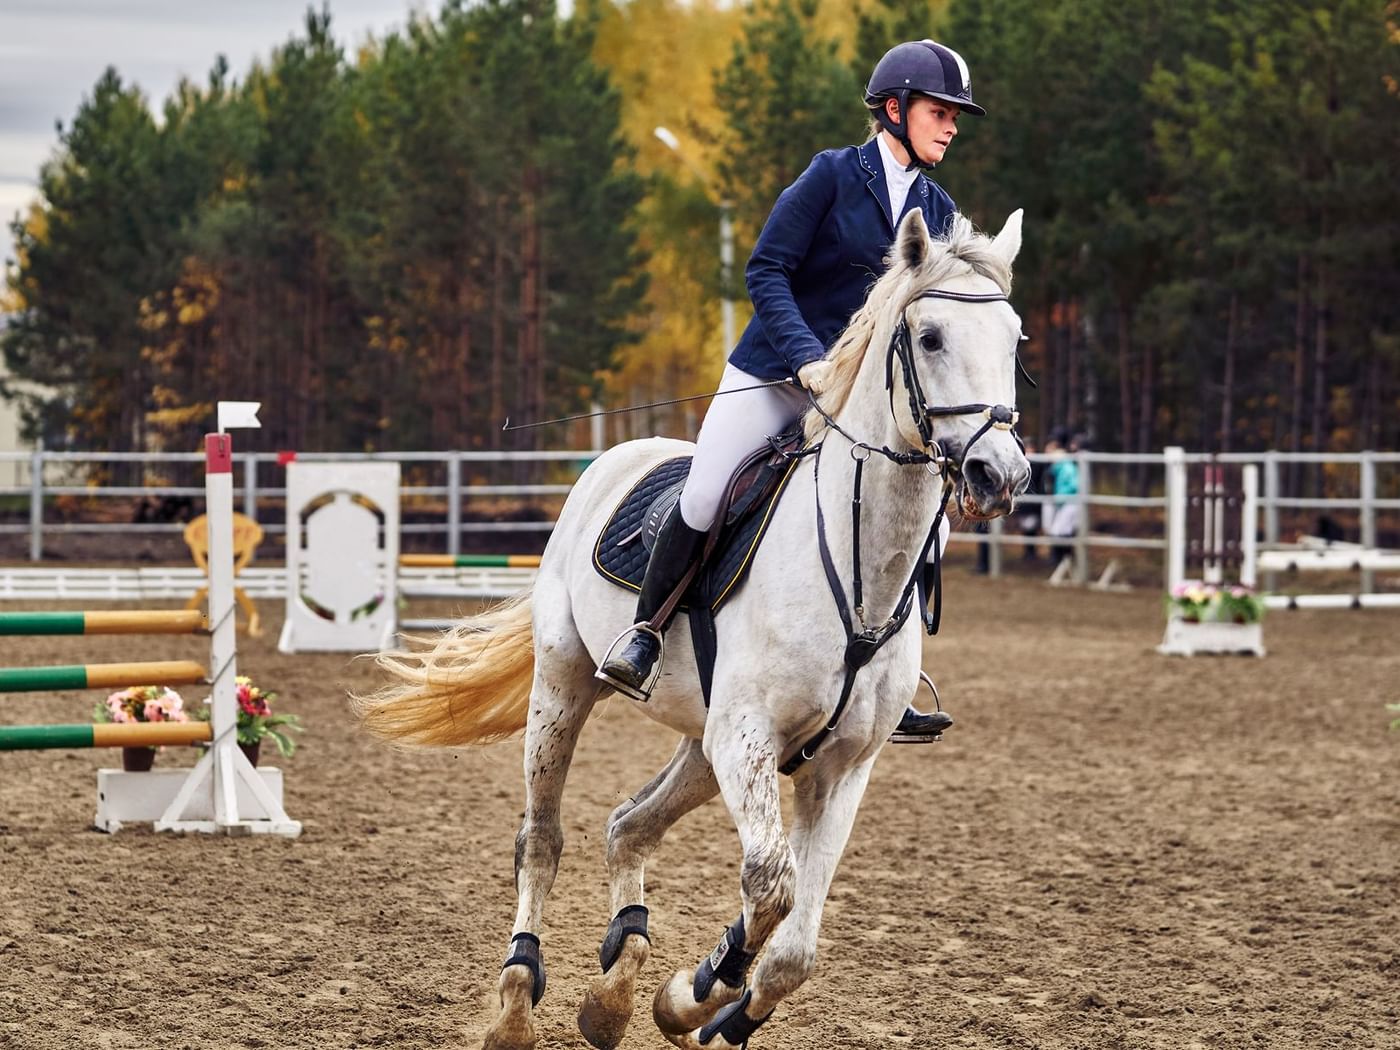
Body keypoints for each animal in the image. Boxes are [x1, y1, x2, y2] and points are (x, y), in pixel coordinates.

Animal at [355, 207, 1036, 1050]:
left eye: (1014, 339)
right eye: (933, 336)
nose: (1000, 475)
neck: (860, 574)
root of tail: (620, 456)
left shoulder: (839, 765)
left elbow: (795, 946)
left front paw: (706, 1004)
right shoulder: (746, 740)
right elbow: (771, 886)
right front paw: (701, 989)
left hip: (702, 747)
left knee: (628, 825)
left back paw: (613, 990)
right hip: (567, 687)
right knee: (542, 838)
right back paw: (516, 999)